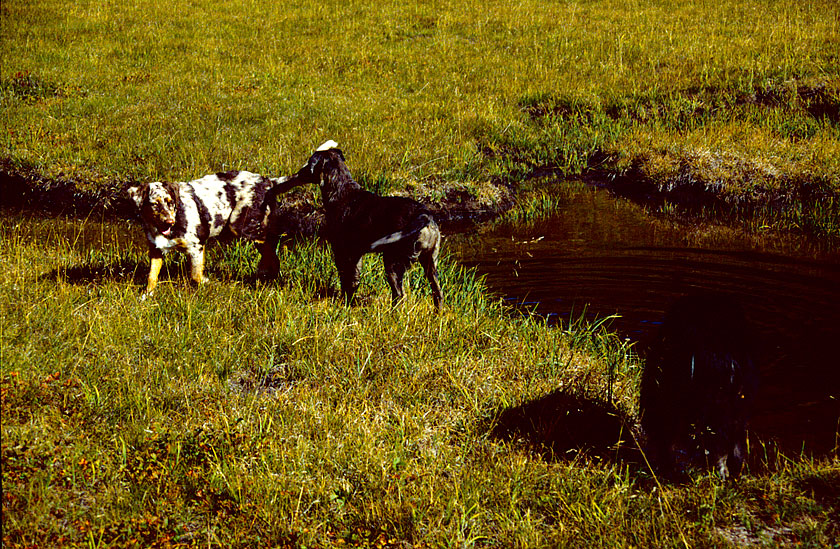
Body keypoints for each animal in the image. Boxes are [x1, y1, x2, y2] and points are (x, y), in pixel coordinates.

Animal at [124, 170, 296, 294]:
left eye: (170, 202)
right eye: (155, 204)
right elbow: (151, 277)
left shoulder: (197, 247)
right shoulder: (155, 250)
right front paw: (147, 295)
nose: (169, 222)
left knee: (271, 250)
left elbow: (195, 275)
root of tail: (268, 181)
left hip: (241, 226)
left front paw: (206, 284)